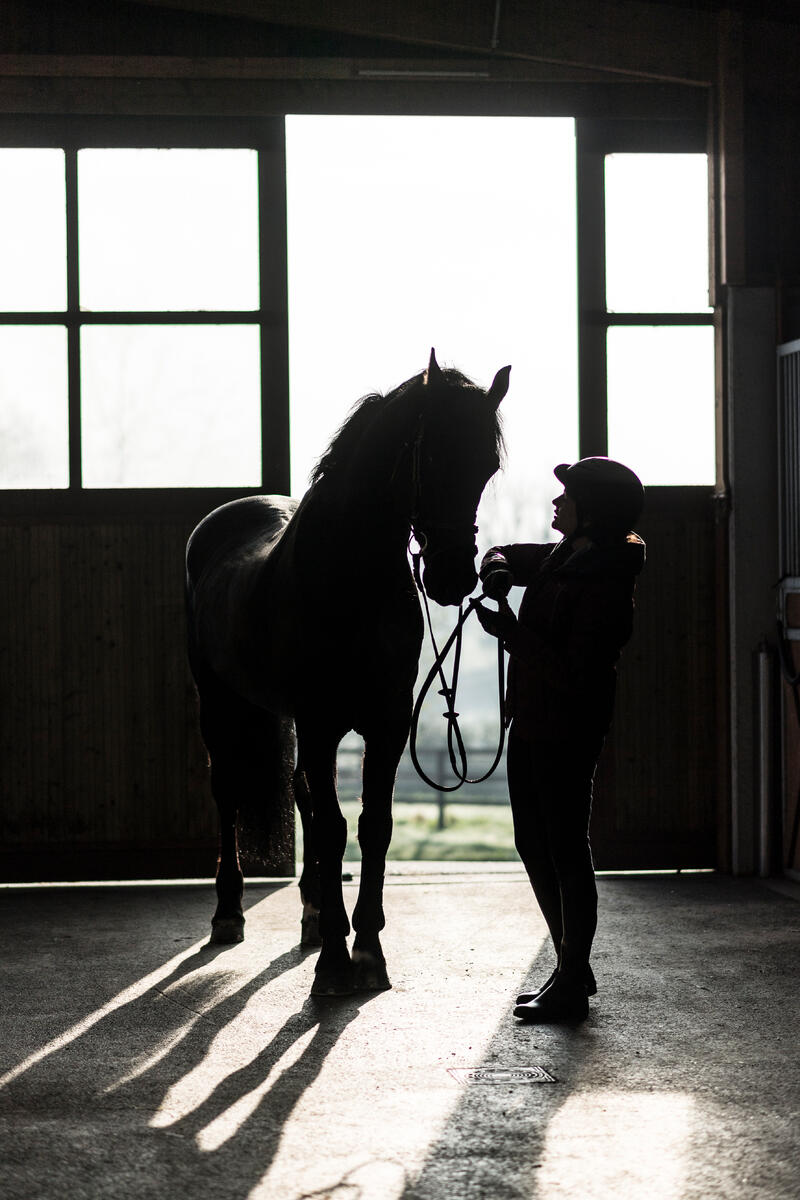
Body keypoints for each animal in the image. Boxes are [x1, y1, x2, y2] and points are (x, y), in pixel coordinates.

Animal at [185, 348, 510, 993]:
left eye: (486, 466)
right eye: (432, 453)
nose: (454, 578)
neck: (350, 576)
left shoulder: (385, 723)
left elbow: (372, 826)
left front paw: (367, 950)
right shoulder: (320, 722)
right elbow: (336, 828)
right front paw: (336, 964)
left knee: (301, 793)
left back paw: (313, 915)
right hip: (222, 703)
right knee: (229, 791)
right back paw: (229, 913)